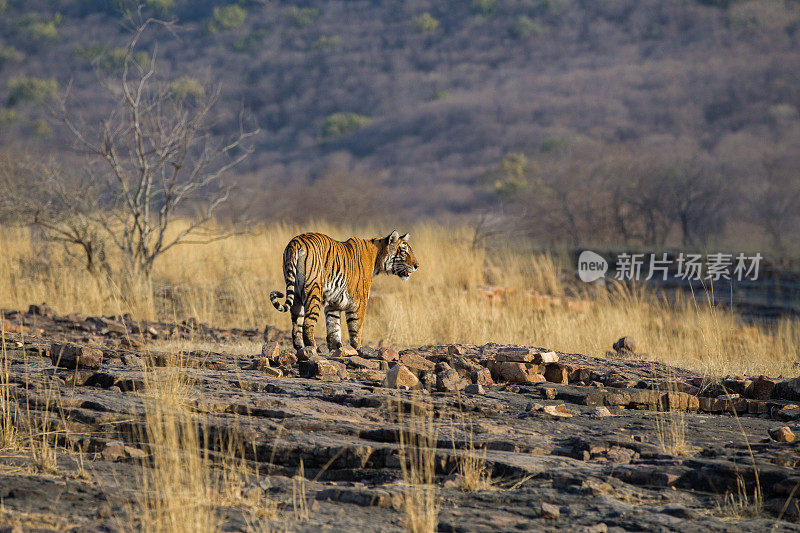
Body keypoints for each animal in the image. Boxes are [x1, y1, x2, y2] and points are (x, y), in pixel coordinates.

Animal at [268, 230, 418, 352]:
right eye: (404, 251)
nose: (417, 265)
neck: (377, 256)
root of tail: (295, 242)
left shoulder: (333, 304)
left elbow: (334, 329)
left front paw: (337, 349)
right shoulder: (359, 302)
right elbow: (356, 329)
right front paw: (358, 349)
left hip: (296, 294)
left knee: (296, 326)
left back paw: (300, 349)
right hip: (313, 289)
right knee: (307, 323)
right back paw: (313, 349)